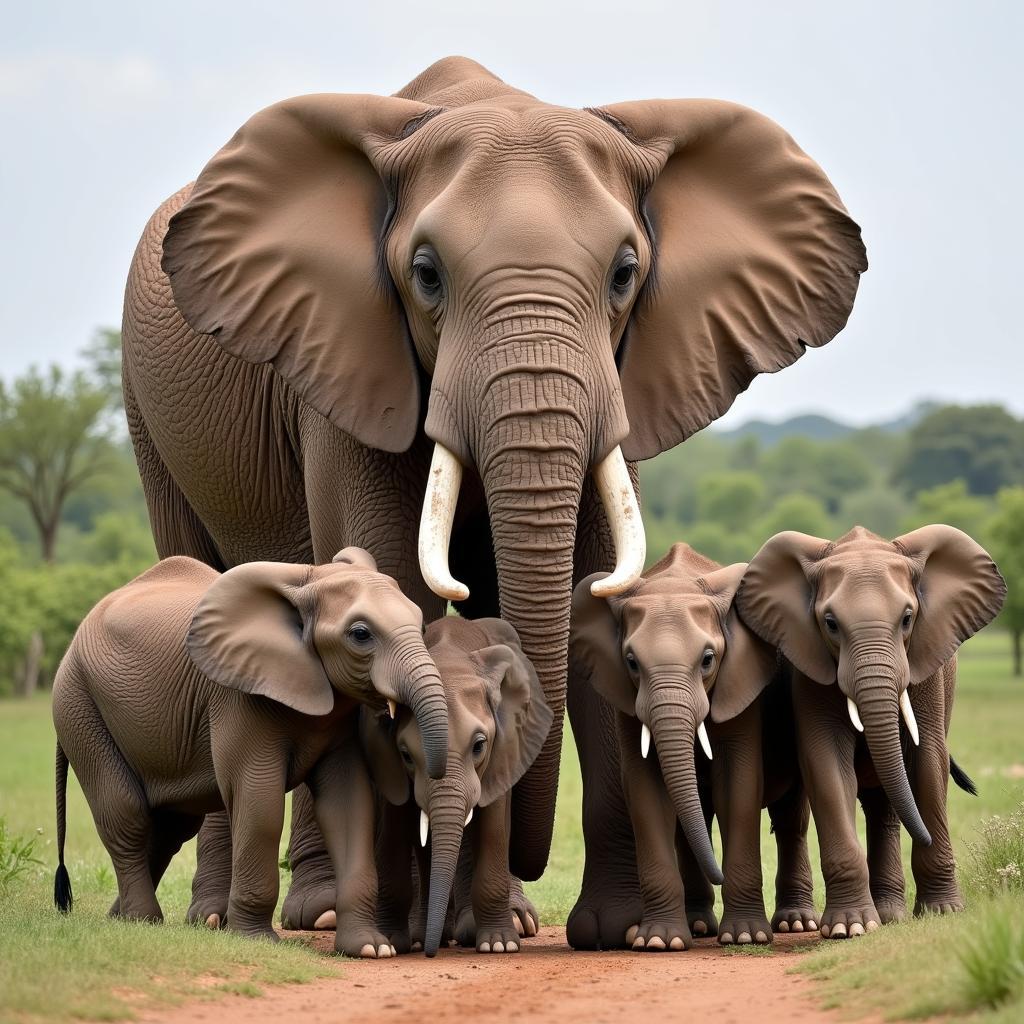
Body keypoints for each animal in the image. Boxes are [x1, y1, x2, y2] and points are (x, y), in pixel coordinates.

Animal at [49, 548, 446, 954]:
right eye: (360, 635)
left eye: (422, 627)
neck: (309, 582)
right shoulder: (237, 697)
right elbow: (260, 805)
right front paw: (257, 940)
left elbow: (349, 805)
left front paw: (370, 949)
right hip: (78, 703)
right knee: (126, 813)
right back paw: (143, 919)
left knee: (170, 827)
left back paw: (121, 919)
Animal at [360, 610, 552, 954]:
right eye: (406, 755)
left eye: (479, 746)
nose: (430, 954)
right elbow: (397, 825)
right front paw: (392, 942)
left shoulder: (502, 751)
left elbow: (493, 826)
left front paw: (499, 945)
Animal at [569, 544, 815, 950]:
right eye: (632, 662)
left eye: (708, 660)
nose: (719, 874)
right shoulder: (626, 700)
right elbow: (645, 791)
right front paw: (658, 942)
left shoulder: (741, 682)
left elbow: (739, 785)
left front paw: (744, 937)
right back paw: (697, 925)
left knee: (790, 818)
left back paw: (794, 922)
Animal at [737, 528, 1007, 937]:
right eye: (830, 623)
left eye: (908, 618)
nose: (926, 835)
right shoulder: (809, 665)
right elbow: (825, 760)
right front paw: (850, 928)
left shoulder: (926, 664)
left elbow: (928, 760)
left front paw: (944, 911)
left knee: (887, 805)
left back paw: (891, 914)